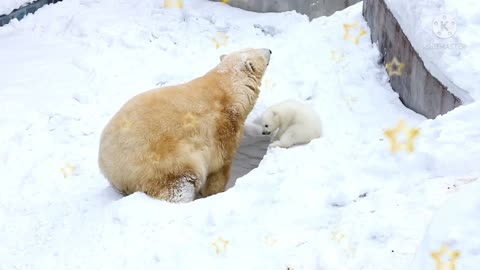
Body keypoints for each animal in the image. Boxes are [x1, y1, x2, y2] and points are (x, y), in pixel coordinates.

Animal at [98, 48, 270, 202]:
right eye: (260, 52)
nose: (270, 50)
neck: (227, 88)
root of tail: (107, 165)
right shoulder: (222, 128)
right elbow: (220, 167)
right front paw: (214, 193)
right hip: (163, 163)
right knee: (180, 185)